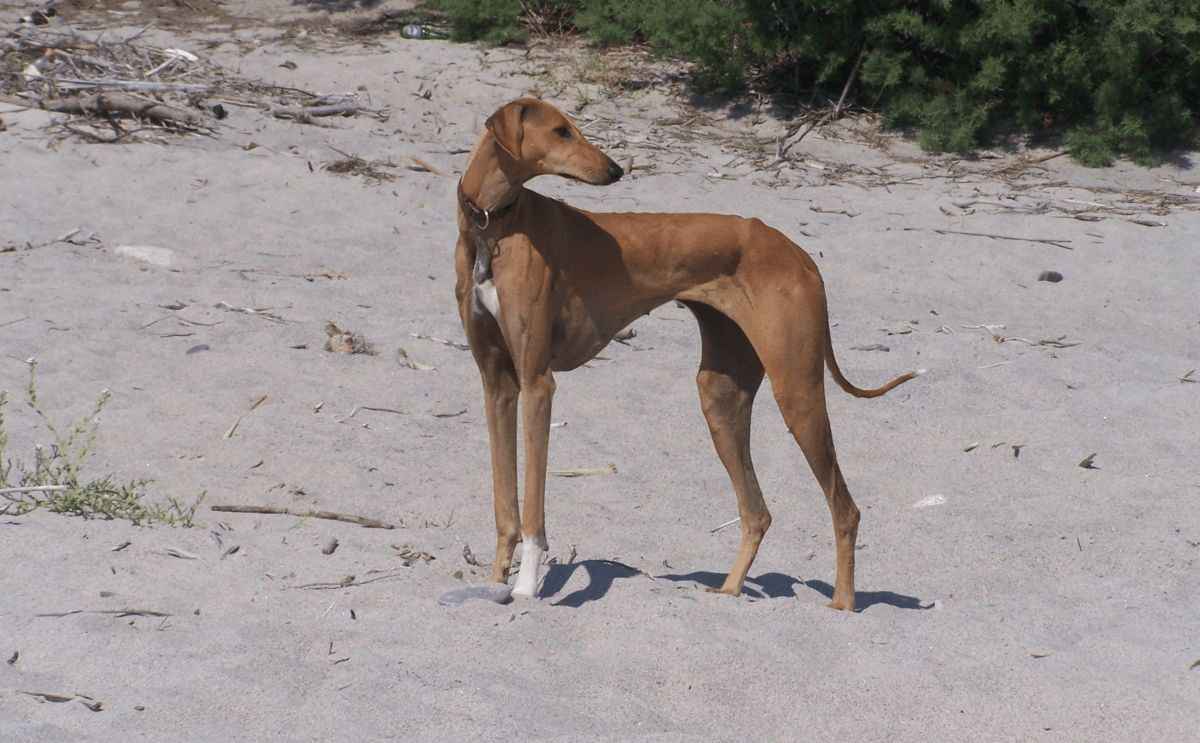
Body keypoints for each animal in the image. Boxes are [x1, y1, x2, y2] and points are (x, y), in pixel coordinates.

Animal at [455, 98, 919, 610]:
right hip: (720, 396)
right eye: (561, 131)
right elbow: (505, 501)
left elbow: (534, 503)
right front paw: (495, 580)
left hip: (796, 391)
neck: (494, 227)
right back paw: (730, 590)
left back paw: (842, 604)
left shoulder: (538, 383)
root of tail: (799, 253)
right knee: (757, 512)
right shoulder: (497, 384)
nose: (616, 170)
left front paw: (525, 587)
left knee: (844, 507)